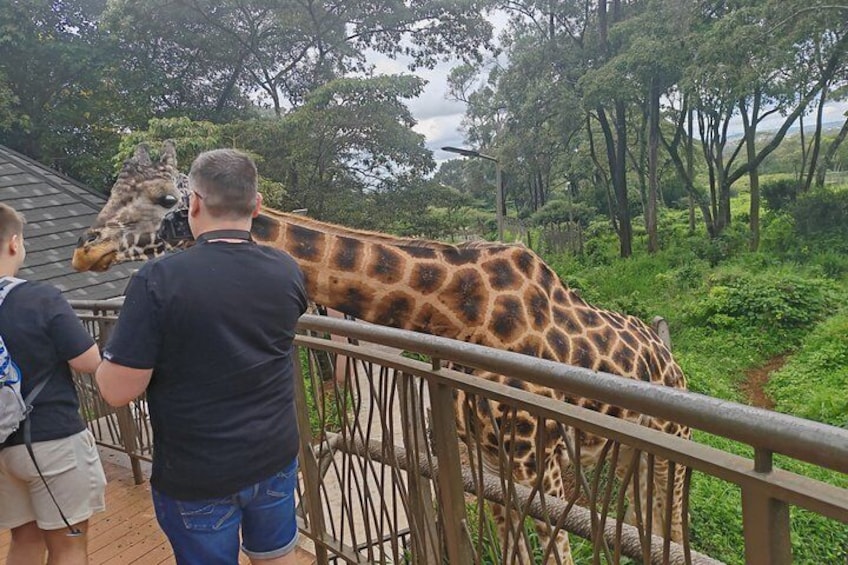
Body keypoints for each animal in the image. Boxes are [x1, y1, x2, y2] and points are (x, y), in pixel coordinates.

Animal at [72, 141, 690, 564]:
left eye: (165, 199)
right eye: (113, 191)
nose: (86, 249)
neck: (465, 310)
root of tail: (672, 361)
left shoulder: (535, 460)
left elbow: (556, 551)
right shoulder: (492, 459)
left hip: (670, 452)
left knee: (672, 528)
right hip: (627, 453)